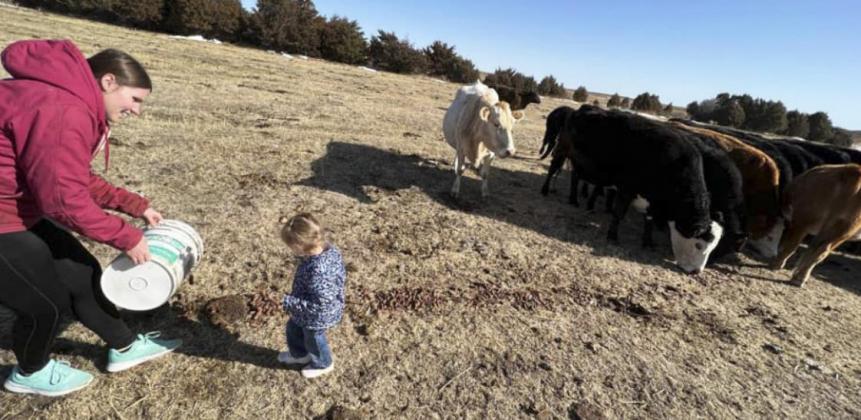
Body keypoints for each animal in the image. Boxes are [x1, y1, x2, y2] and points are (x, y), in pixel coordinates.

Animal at [562, 105, 723, 273]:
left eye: (713, 247)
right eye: (698, 245)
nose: (696, 271)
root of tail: (582, 109)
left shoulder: (653, 200)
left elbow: (649, 221)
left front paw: (647, 242)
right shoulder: (626, 189)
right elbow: (618, 213)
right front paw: (612, 236)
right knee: (574, 178)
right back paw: (573, 200)